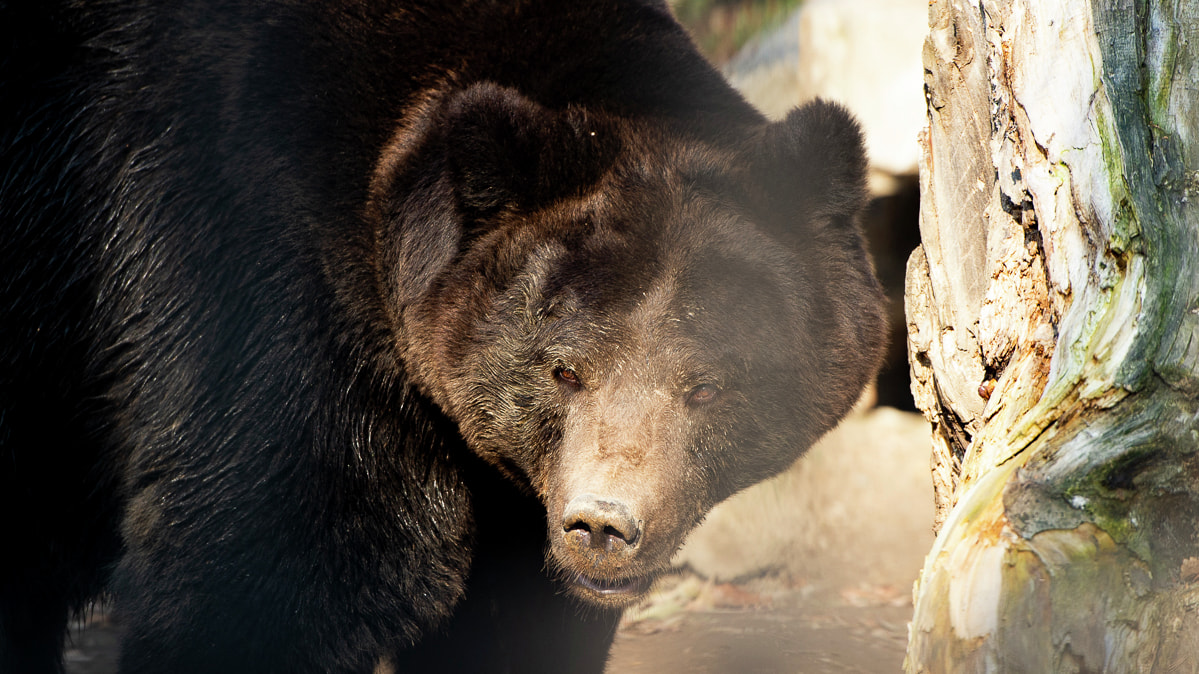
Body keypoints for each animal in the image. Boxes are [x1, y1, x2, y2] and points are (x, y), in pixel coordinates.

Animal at [0, 1, 882, 671]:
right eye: (565, 370)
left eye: (704, 383)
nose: (600, 526)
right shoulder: (250, 291)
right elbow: (261, 578)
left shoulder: (508, 496)